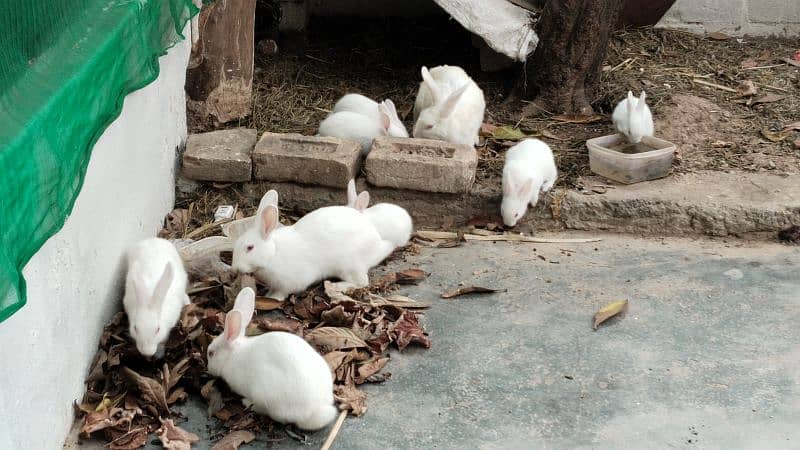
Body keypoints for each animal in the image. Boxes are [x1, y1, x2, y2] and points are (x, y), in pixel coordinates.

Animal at [208, 286, 336, 430]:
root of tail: (315, 410)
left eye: (211, 353)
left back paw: (247, 402)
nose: (208, 368)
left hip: (264, 395)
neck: (233, 354)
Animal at [231, 204, 394, 298]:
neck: (273, 254)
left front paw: (272, 298)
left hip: (350, 266)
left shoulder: (290, 282)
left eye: (250, 248)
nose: (235, 269)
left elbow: (282, 293)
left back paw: (338, 286)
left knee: (362, 282)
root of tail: (377, 244)